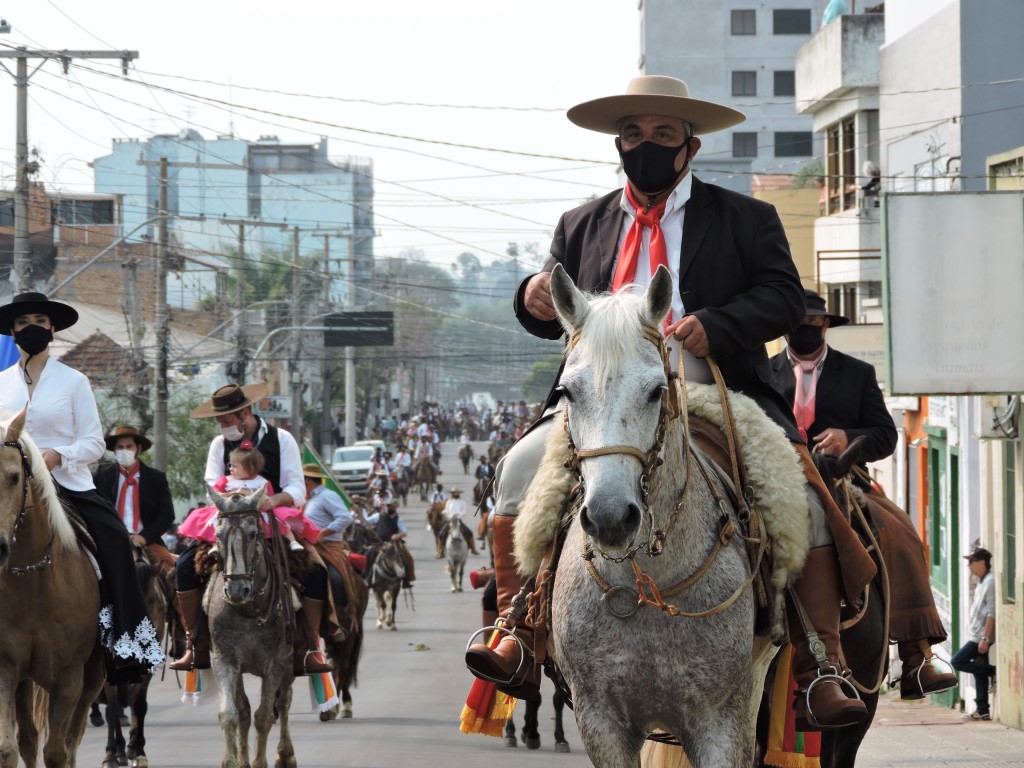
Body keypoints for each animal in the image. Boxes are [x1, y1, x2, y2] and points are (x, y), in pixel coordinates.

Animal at [205, 489, 296, 768]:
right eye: (218, 534)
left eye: (254, 532)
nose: (236, 590)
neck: (247, 611)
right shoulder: (224, 659)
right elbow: (231, 714)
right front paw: (233, 761)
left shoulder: (276, 663)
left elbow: (264, 716)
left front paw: (259, 761)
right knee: (244, 711)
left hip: (290, 665)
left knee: (284, 702)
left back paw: (285, 755)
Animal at [544, 266, 774, 768]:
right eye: (566, 391)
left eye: (656, 391)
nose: (610, 518)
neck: (647, 586)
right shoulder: (600, 721)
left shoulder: (719, 721)